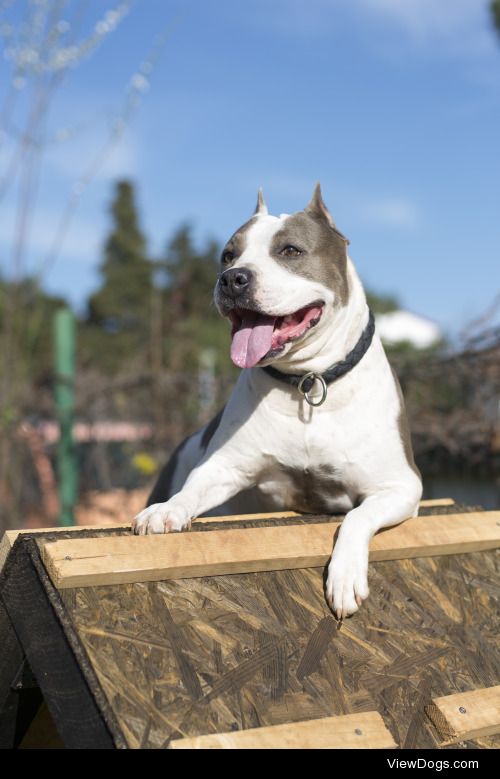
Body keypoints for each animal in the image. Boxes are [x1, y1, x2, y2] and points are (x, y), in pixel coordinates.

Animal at [133, 186, 422, 620]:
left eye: (290, 250)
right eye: (228, 255)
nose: (233, 278)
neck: (308, 383)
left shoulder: (401, 486)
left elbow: (357, 516)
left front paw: (344, 577)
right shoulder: (223, 466)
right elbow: (192, 490)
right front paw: (168, 510)